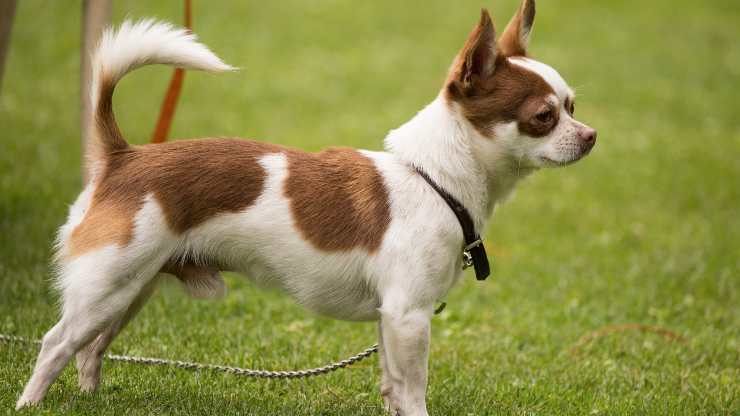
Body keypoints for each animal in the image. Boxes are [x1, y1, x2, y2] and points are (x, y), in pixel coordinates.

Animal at [15, 1, 596, 414]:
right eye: (544, 117)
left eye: (573, 106)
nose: (591, 136)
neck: (434, 179)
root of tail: (123, 156)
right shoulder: (409, 315)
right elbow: (413, 392)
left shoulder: (392, 319)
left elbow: (393, 387)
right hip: (108, 284)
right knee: (55, 344)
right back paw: (30, 405)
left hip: (130, 289)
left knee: (90, 349)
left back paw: (91, 400)